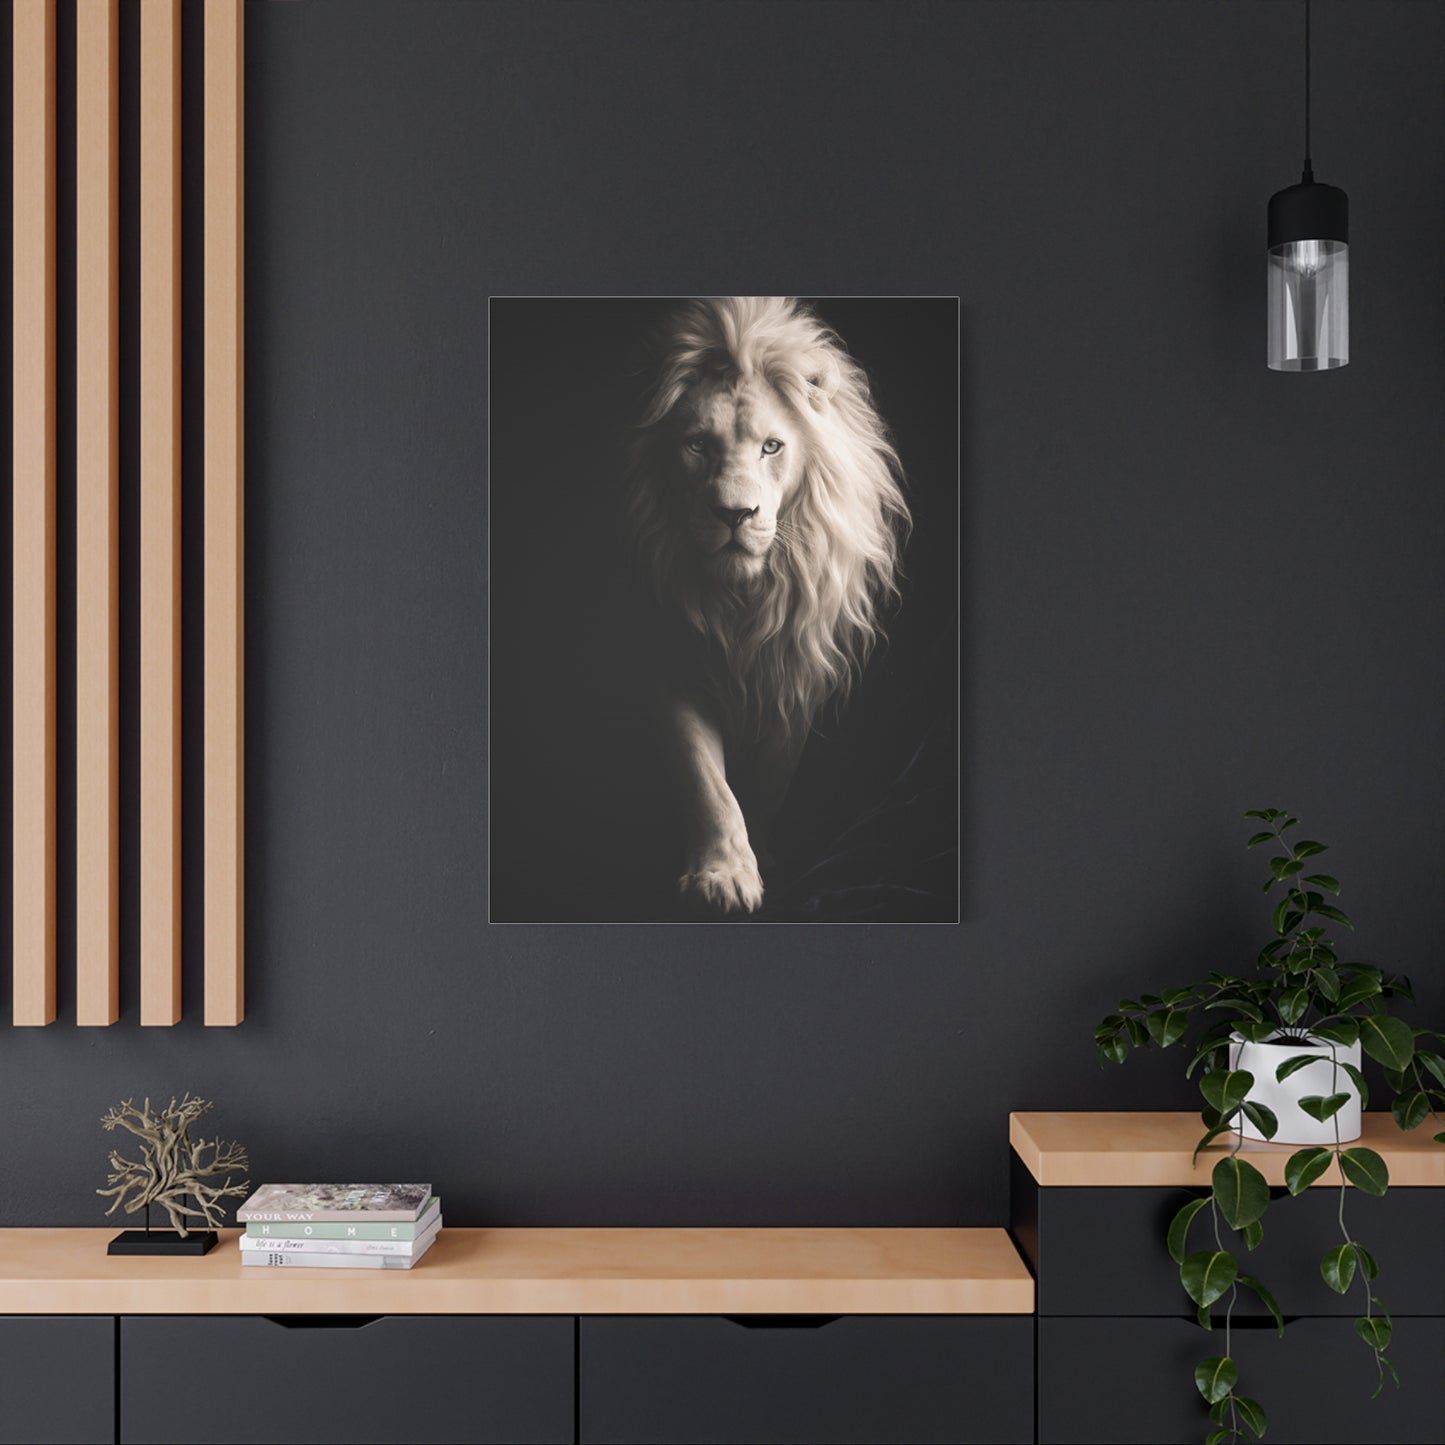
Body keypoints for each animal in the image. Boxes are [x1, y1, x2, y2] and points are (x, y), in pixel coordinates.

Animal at [626, 297, 910, 915]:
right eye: (697, 445)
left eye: (771, 447)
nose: (735, 515)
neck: (743, 597)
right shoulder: (672, 659)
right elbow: (706, 781)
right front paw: (725, 875)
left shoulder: (796, 667)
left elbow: (770, 777)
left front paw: (759, 853)